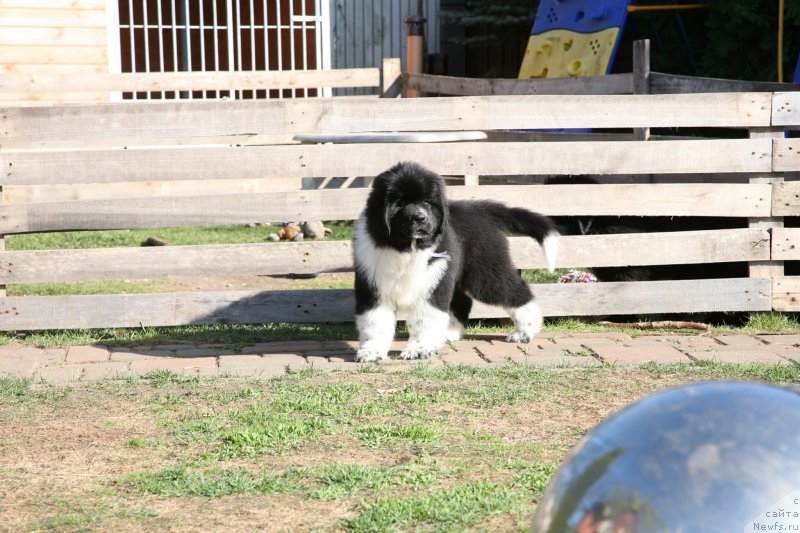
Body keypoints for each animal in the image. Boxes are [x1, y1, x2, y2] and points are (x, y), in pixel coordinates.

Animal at [354, 161, 560, 362]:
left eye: (428, 202)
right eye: (400, 203)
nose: (420, 218)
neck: (408, 249)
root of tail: (480, 211)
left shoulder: (433, 281)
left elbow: (423, 319)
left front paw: (418, 350)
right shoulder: (372, 286)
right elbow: (375, 321)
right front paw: (371, 352)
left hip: (483, 274)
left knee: (515, 291)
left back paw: (525, 331)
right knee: (462, 302)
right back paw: (448, 334)